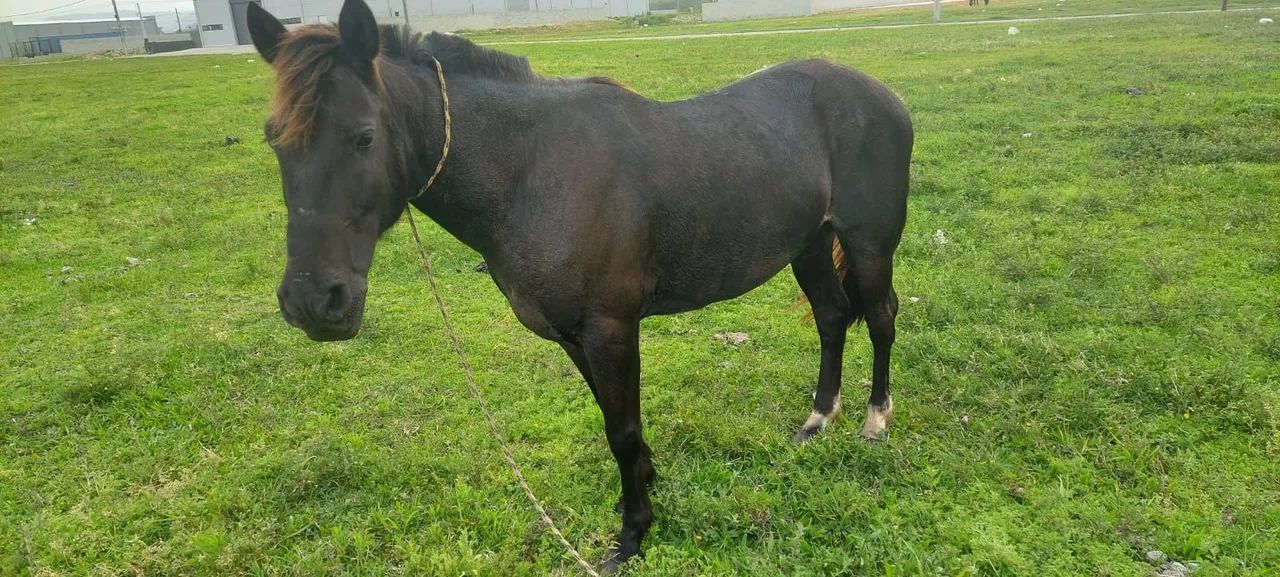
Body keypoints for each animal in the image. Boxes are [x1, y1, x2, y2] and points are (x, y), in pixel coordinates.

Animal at [248, 0, 912, 571]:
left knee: (880, 318)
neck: (532, 172)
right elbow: (617, 421)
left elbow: (621, 430)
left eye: (364, 136)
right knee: (832, 317)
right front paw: (639, 492)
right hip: (809, 245)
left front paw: (633, 534)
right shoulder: (574, 334)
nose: (313, 301)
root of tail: (881, 94)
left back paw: (876, 421)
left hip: (868, 244)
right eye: (273, 137)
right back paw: (818, 419)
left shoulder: (610, 328)